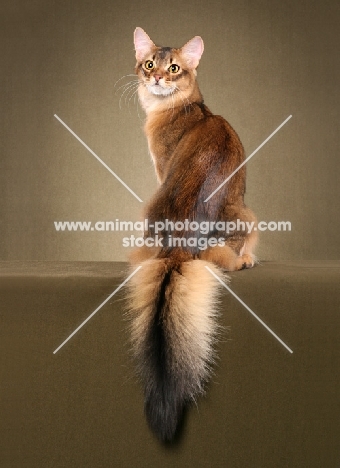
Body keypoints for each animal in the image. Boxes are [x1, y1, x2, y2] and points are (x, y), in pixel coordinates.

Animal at [127, 27, 258, 440]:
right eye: (149, 64)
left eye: (173, 68)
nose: (156, 78)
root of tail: (180, 247)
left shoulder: (160, 167)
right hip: (245, 215)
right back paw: (247, 260)